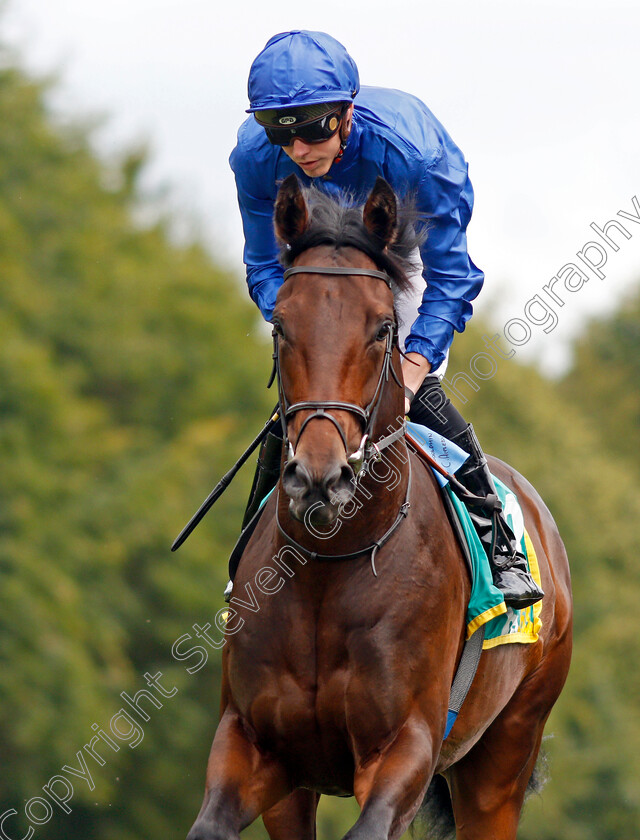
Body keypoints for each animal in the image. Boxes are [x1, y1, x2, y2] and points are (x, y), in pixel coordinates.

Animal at [188, 176, 572, 840]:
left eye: (381, 328)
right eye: (280, 325)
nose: (321, 477)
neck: (328, 567)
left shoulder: (405, 750)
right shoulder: (257, 745)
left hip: (504, 757)